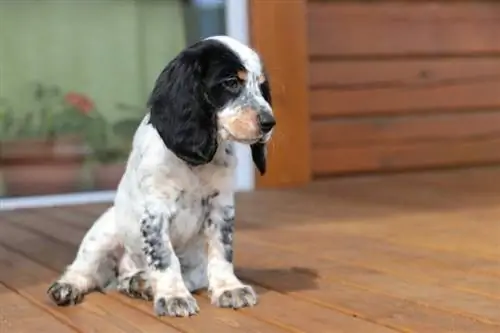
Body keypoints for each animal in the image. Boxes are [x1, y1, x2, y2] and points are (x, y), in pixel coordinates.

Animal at [46, 35, 276, 316]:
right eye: (231, 82)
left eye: (261, 87)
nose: (269, 123)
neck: (194, 163)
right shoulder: (156, 211)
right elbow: (164, 257)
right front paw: (173, 296)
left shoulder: (221, 207)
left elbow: (222, 251)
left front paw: (229, 289)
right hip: (103, 234)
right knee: (83, 270)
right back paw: (69, 286)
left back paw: (139, 283)